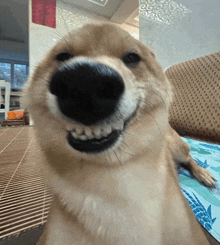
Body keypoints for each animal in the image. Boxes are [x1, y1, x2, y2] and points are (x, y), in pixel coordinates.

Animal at [22, 22, 217, 244]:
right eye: (62, 56)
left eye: (132, 57)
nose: (85, 81)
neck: (113, 171)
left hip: (177, 147)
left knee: (190, 158)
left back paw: (203, 173)